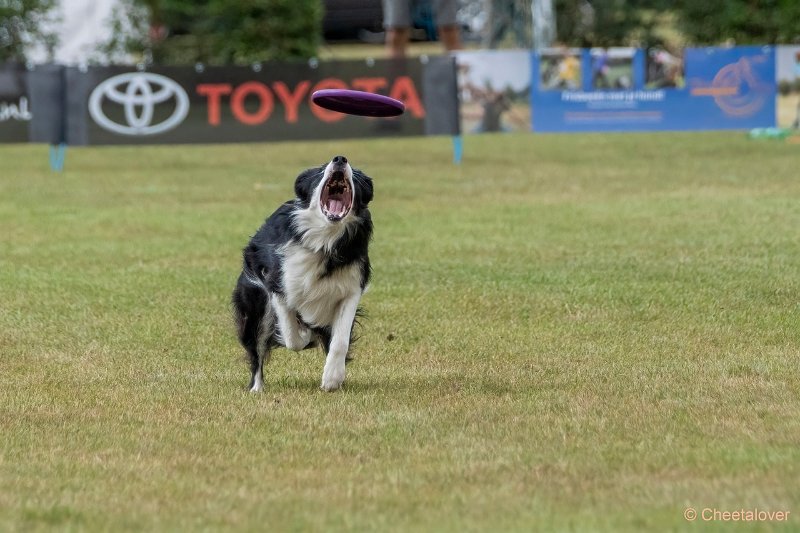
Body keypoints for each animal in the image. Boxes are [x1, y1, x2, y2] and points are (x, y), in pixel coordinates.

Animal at [233, 154, 374, 390]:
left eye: (355, 174)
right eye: (320, 172)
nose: (340, 159)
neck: (326, 240)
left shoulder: (352, 285)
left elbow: (340, 339)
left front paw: (332, 378)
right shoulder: (278, 283)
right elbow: (291, 336)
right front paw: (305, 335)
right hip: (254, 304)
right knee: (257, 347)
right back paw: (256, 388)